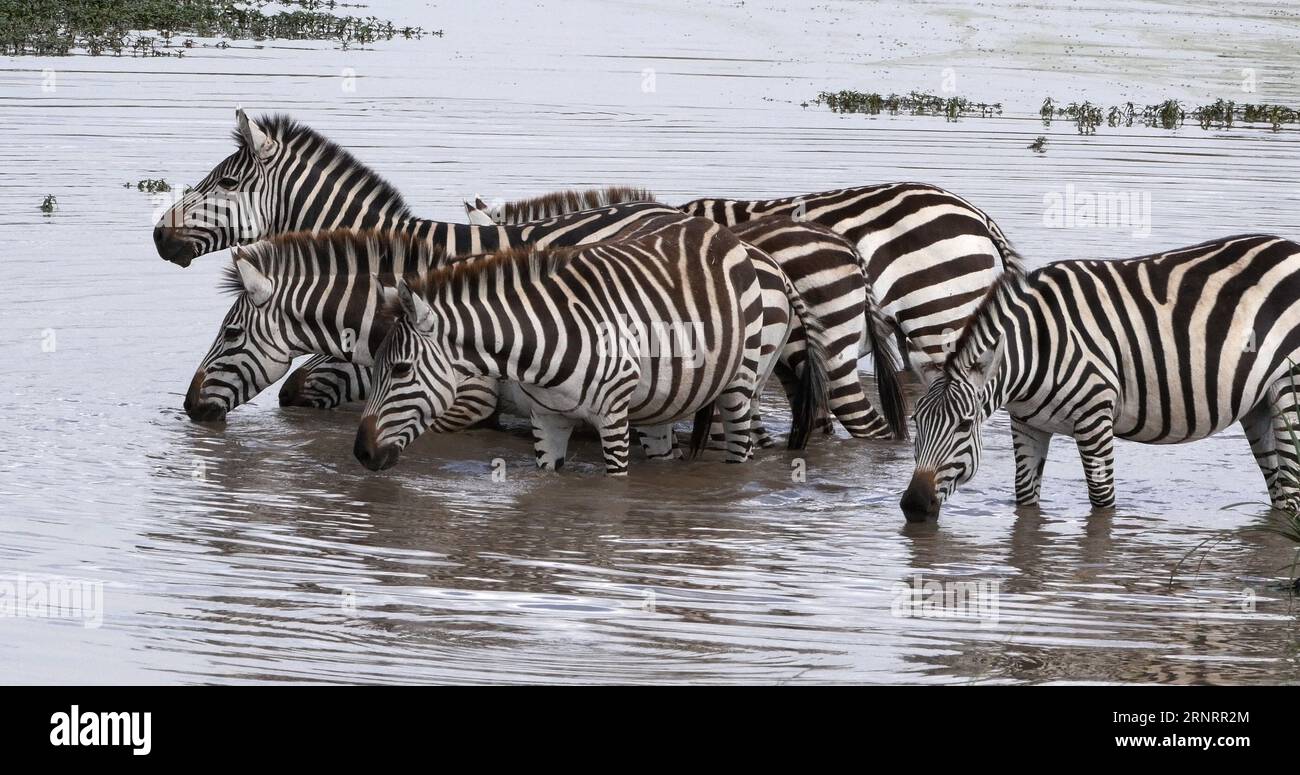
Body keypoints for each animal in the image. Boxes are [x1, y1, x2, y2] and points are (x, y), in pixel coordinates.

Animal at [354, 214, 813, 475]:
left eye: (400, 370)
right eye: (371, 368)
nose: (361, 453)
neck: (537, 346)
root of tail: (728, 237)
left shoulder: (612, 417)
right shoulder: (547, 420)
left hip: (740, 383)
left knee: (741, 451)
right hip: (666, 401)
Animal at [899, 234, 1300, 522]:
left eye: (965, 425)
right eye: (917, 422)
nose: (913, 506)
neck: (1035, 351)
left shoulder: (1094, 417)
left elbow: (1102, 501)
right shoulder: (1027, 424)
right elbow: (1025, 497)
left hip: (1290, 391)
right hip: (1259, 403)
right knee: (1281, 492)